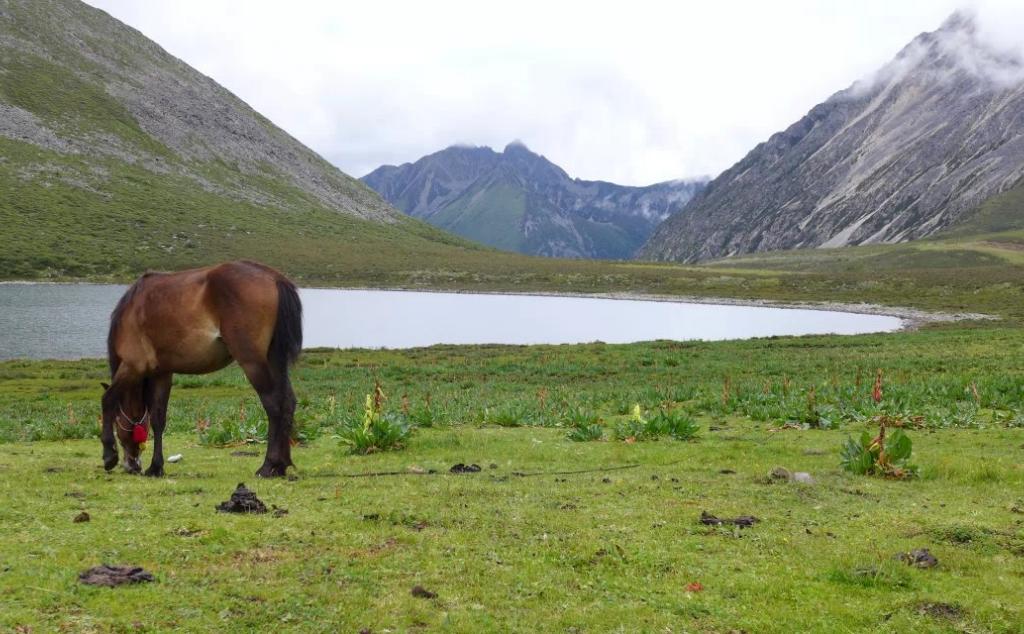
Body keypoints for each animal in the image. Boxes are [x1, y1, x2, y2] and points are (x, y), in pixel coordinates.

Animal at [101, 262, 301, 475]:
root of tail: (274, 277)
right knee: (287, 402)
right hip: (274, 360)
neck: (133, 309)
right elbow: (158, 418)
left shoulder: (132, 365)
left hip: (253, 362)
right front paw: (156, 467)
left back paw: (268, 465)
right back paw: (281, 465)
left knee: (273, 405)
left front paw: (109, 455)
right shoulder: (162, 373)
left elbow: (108, 400)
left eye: (118, 427)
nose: (133, 466)